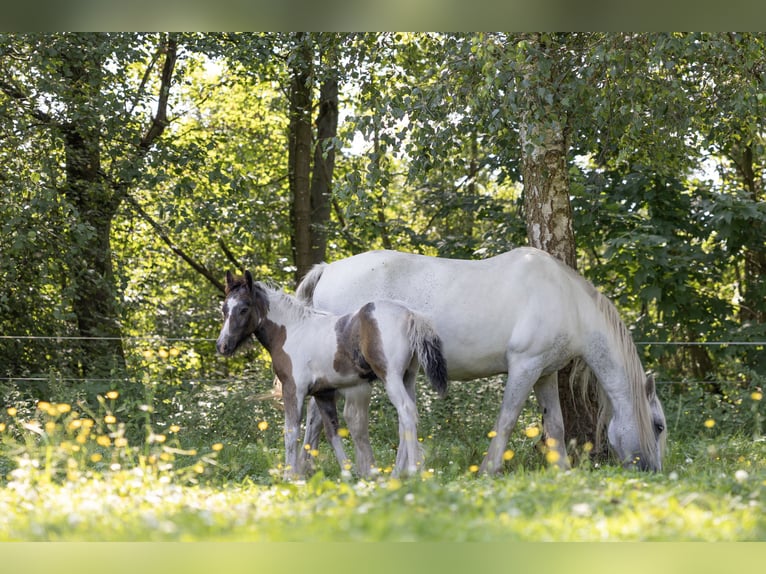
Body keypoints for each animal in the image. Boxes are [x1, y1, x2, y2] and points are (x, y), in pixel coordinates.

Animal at [216, 272, 450, 480]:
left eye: (244, 308)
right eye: (224, 309)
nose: (222, 345)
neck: (290, 330)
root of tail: (410, 314)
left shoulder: (293, 389)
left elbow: (291, 432)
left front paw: (289, 476)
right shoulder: (324, 393)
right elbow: (332, 432)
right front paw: (348, 473)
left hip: (390, 377)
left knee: (407, 412)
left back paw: (413, 472)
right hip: (408, 378)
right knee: (406, 421)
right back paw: (396, 475)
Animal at [296, 245, 668, 474]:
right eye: (659, 426)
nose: (654, 472)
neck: (567, 299)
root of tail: (328, 269)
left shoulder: (544, 374)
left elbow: (556, 426)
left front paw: (561, 470)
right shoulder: (524, 367)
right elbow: (506, 420)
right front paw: (490, 469)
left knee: (317, 418)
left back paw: (306, 471)